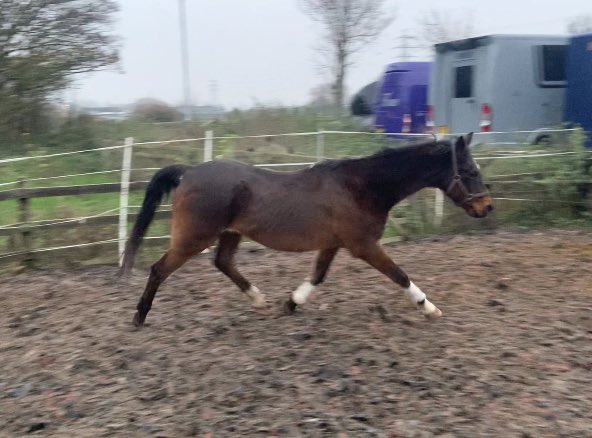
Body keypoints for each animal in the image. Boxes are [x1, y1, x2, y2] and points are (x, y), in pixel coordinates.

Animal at [120, 133, 490, 326]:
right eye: (471, 171)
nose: (487, 208)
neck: (362, 186)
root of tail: (189, 172)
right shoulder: (364, 245)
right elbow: (399, 275)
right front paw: (429, 308)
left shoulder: (335, 243)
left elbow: (318, 276)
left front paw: (291, 303)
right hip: (194, 237)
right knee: (159, 269)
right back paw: (139, 316)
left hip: (229, 233)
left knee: (222, 262)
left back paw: (259, 300)